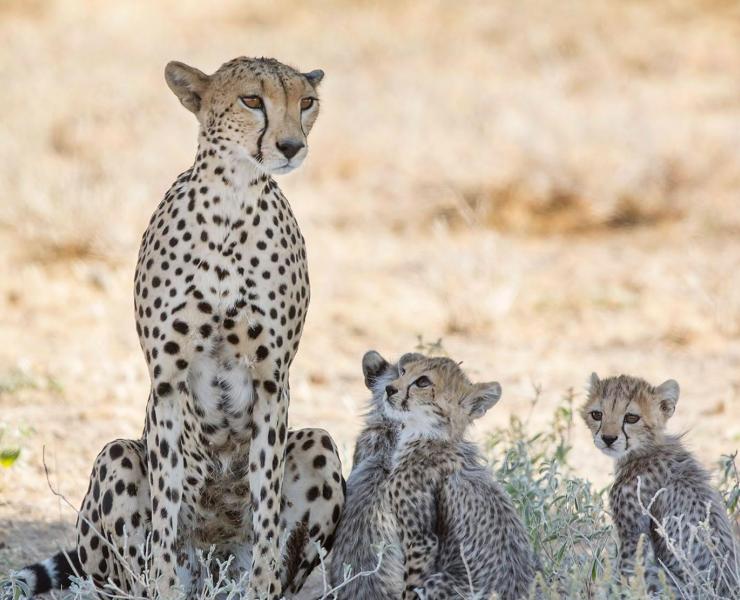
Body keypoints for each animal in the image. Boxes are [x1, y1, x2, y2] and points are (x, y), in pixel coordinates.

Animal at [5, 56, 344, 600]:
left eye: (307, 102)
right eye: (253, 100)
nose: (292, 145)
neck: (232, 201)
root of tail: (213, 566)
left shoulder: (272, 382)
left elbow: (267, 509)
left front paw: (262, 581)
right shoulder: (166, 381)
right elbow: (165, 510)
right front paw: (165, 582)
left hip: (319, 447)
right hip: (116, 461)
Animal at [332, 351, 537, 600]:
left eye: (423, 382)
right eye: (404, 371)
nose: (390, 389)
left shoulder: (422, 540)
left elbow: (410, 587)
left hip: (440, 581)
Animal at [581, 373, 739, 596]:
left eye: (631, 418)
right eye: (597, 414)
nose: (608, 438)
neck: (645, 449)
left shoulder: (634, 538)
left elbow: (624, 578)